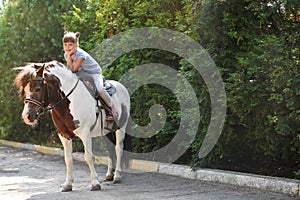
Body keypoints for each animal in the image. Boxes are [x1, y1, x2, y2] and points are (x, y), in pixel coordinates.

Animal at [13, 60, 130, 191]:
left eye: (37, 89)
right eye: (24, 90)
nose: (26, 116)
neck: (68, 101)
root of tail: (121, 87)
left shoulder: (85, 133)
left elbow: (88, 157)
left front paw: (95, 183)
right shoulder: (63, 135)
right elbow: (68, 158)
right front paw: (68, 184)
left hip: (121, 128)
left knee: (118, 148)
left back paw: (117, 176)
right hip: (107, 131)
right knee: (111, 149)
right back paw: (109, 175)